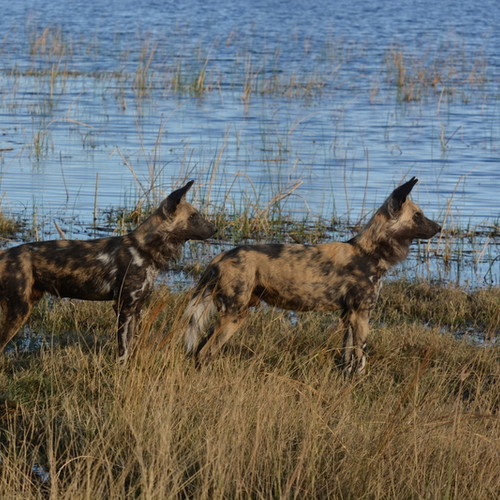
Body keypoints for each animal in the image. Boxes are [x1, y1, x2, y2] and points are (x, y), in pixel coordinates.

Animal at [0, 182, 217, 362]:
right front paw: (121, 368)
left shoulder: (137, 308)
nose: (214, 230)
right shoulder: (124, 307)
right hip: (19, 311)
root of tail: (6, 253)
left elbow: (133, 343)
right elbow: (123, 348)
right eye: (193, 216)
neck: (143, 249)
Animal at [184, 178, 442, 374]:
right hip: (235, 315)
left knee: (200, 349)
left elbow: (347, 358)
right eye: (418, 216)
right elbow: (360, 358)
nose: (439, 227)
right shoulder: (362, 315)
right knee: (205, 352)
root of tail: (221, 256)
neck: (369, 252)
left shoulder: (349, 315)